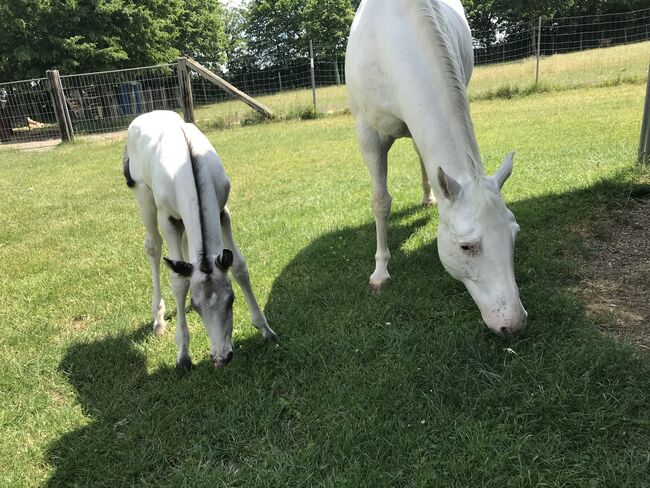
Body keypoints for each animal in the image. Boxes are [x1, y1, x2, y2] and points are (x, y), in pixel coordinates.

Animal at [124, 111, 276, 370]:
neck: (188, 169)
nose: (221, 357)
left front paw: (266, 329)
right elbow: (177, 281)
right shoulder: (168, 219)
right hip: (143, 196)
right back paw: (159, 320)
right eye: (196, 306)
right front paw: (183, 355)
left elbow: (239, 266)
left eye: (231, 299)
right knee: (153, 246)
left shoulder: (222, 211)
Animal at [344, 0, 528, 336]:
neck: (392, 39)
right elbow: (380, 202)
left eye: (514, 233)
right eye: (466, 247)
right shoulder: (368, 135)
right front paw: (380, 272)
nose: (514, 323)